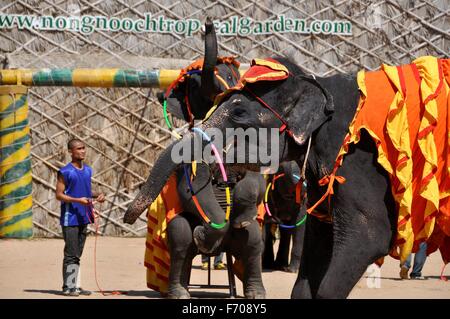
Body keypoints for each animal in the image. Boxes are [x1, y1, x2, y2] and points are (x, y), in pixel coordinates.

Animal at [123, 19, 268, 300]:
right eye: (192, 85)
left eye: (233, 77)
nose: (208, 22)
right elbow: (190, 191)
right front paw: (202, 234)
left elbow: (255, 184)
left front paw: (239, 216)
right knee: (180, 238)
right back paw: (180, 291)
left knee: (254, 241)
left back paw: (254, 292)